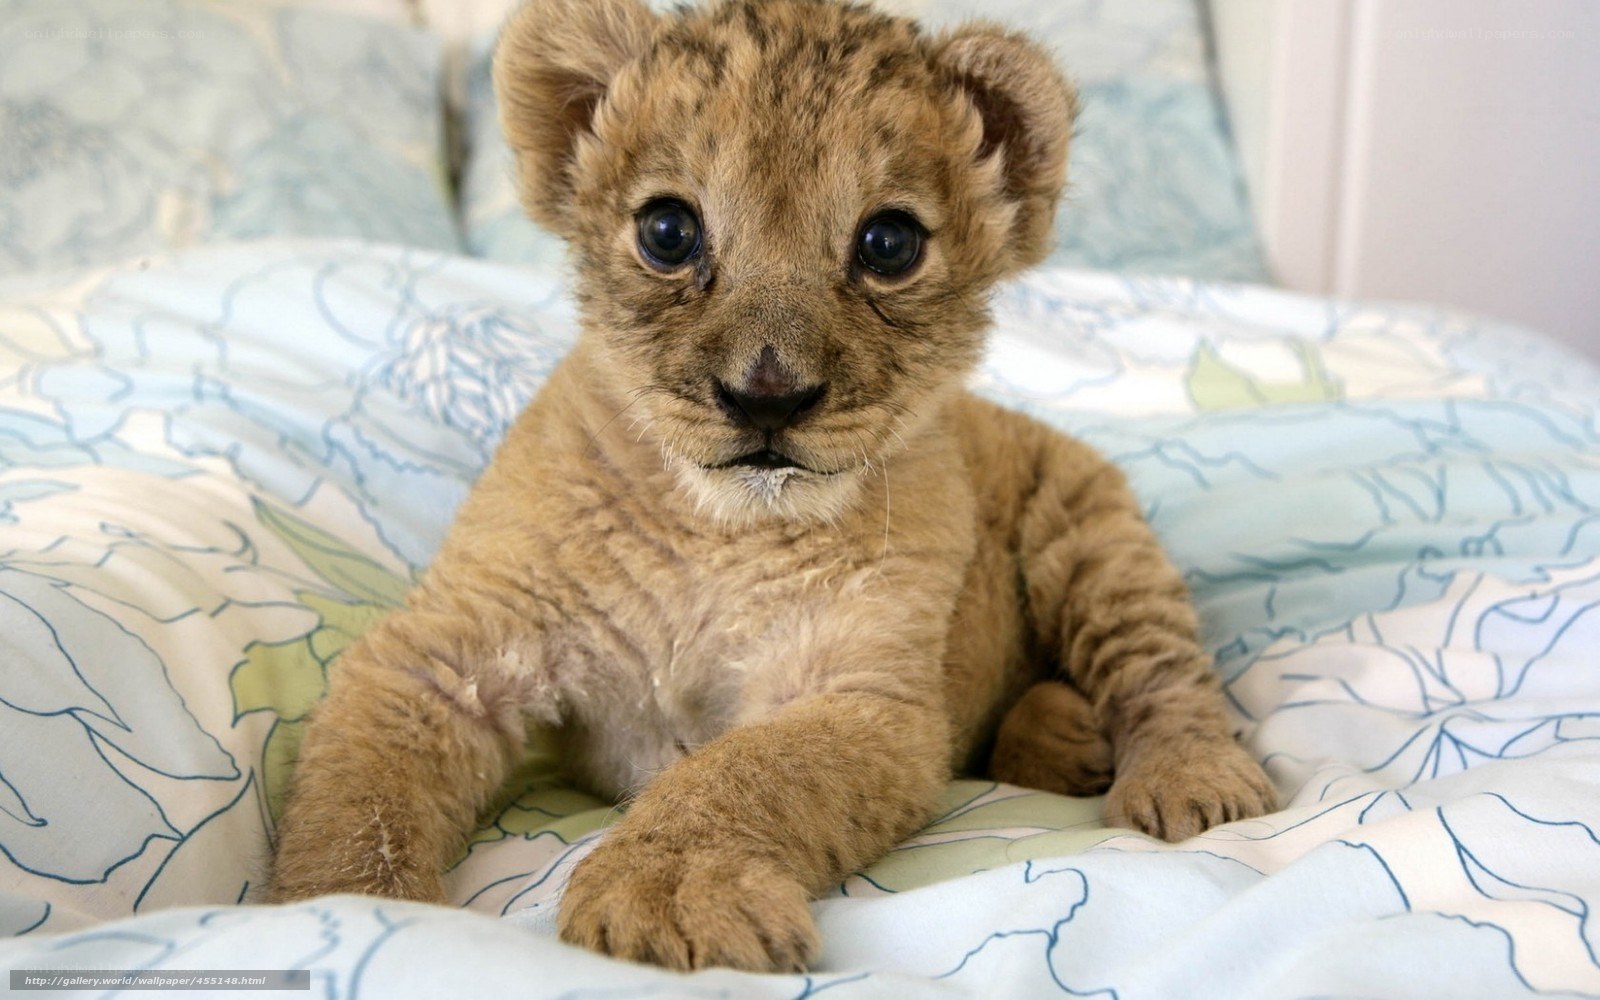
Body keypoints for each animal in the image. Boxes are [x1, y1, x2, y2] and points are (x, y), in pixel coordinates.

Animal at [268, 0, 1277, 972]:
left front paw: (666, 895)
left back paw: (1186, 782)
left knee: (1163, 671)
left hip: (1094, 537)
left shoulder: (860, 694)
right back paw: (1065, 736)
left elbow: (745, 773)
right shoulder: (446, 657)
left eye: (889, 242)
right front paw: (345, 914)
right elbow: (361, 801)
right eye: (668, 232)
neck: (714, 529)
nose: (767, 395)